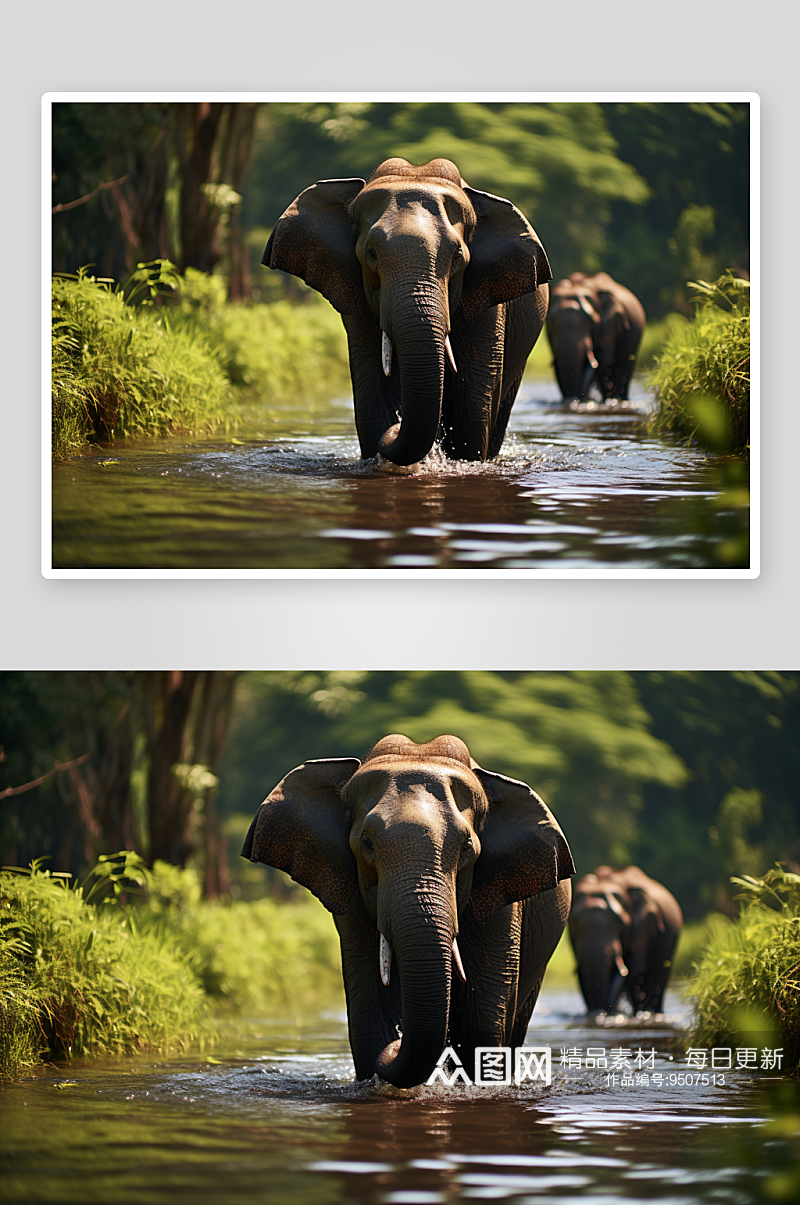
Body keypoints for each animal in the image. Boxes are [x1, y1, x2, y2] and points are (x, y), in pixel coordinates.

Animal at [240, 727, 571, 1089]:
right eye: (367, 844)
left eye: (466, 848)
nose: (398, 1042)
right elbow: (370, 1012)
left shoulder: (500, 901)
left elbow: (481, 1025)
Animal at [265, 155, 554, 465]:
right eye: (371, 253)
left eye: (457, 257)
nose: (397, 427)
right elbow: (375, 392)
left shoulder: (486, 302)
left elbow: (472, 408)